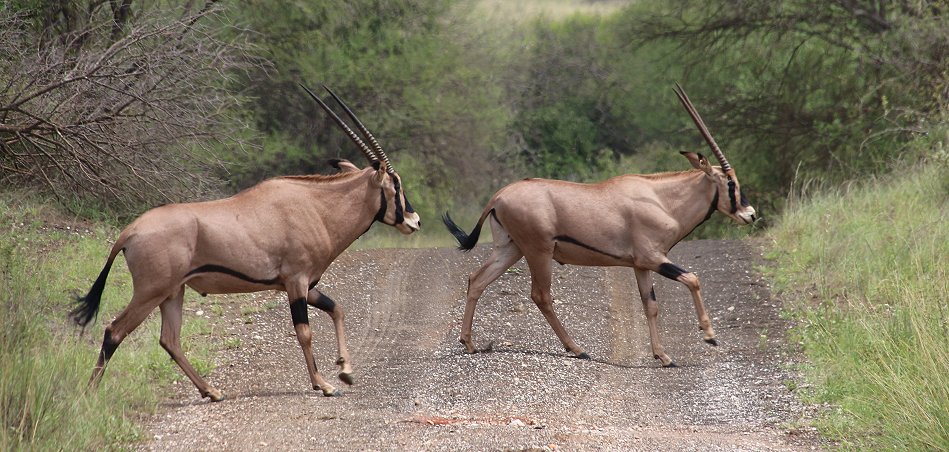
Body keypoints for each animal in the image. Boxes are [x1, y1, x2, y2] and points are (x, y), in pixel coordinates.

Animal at [70, 84, 418, 400]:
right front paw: (324, 384)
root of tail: (130, 232)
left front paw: (345, 371)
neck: (316, 207)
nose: (414, 221)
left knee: (170, 339)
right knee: (115, 331)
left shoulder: (305, 284)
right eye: (396, 184)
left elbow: (337, 309)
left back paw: (211, 391)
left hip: (172, 293)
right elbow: (304, 332)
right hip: (150, 292)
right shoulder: (296, 281)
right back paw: (89, 393)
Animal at [442, 84, 756, 368]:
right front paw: (709, 335)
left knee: (477, 280)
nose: (750, 214)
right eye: (730, 183)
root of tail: (498, 196)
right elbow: (692, 279)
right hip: (538, 251)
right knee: (541, 295)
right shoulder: (653, 258)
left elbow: (651, 306)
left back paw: (469, 342)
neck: (661, 199)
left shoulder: (641, 266)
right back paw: (577, 348)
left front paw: (663, 356)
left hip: (511, 249)